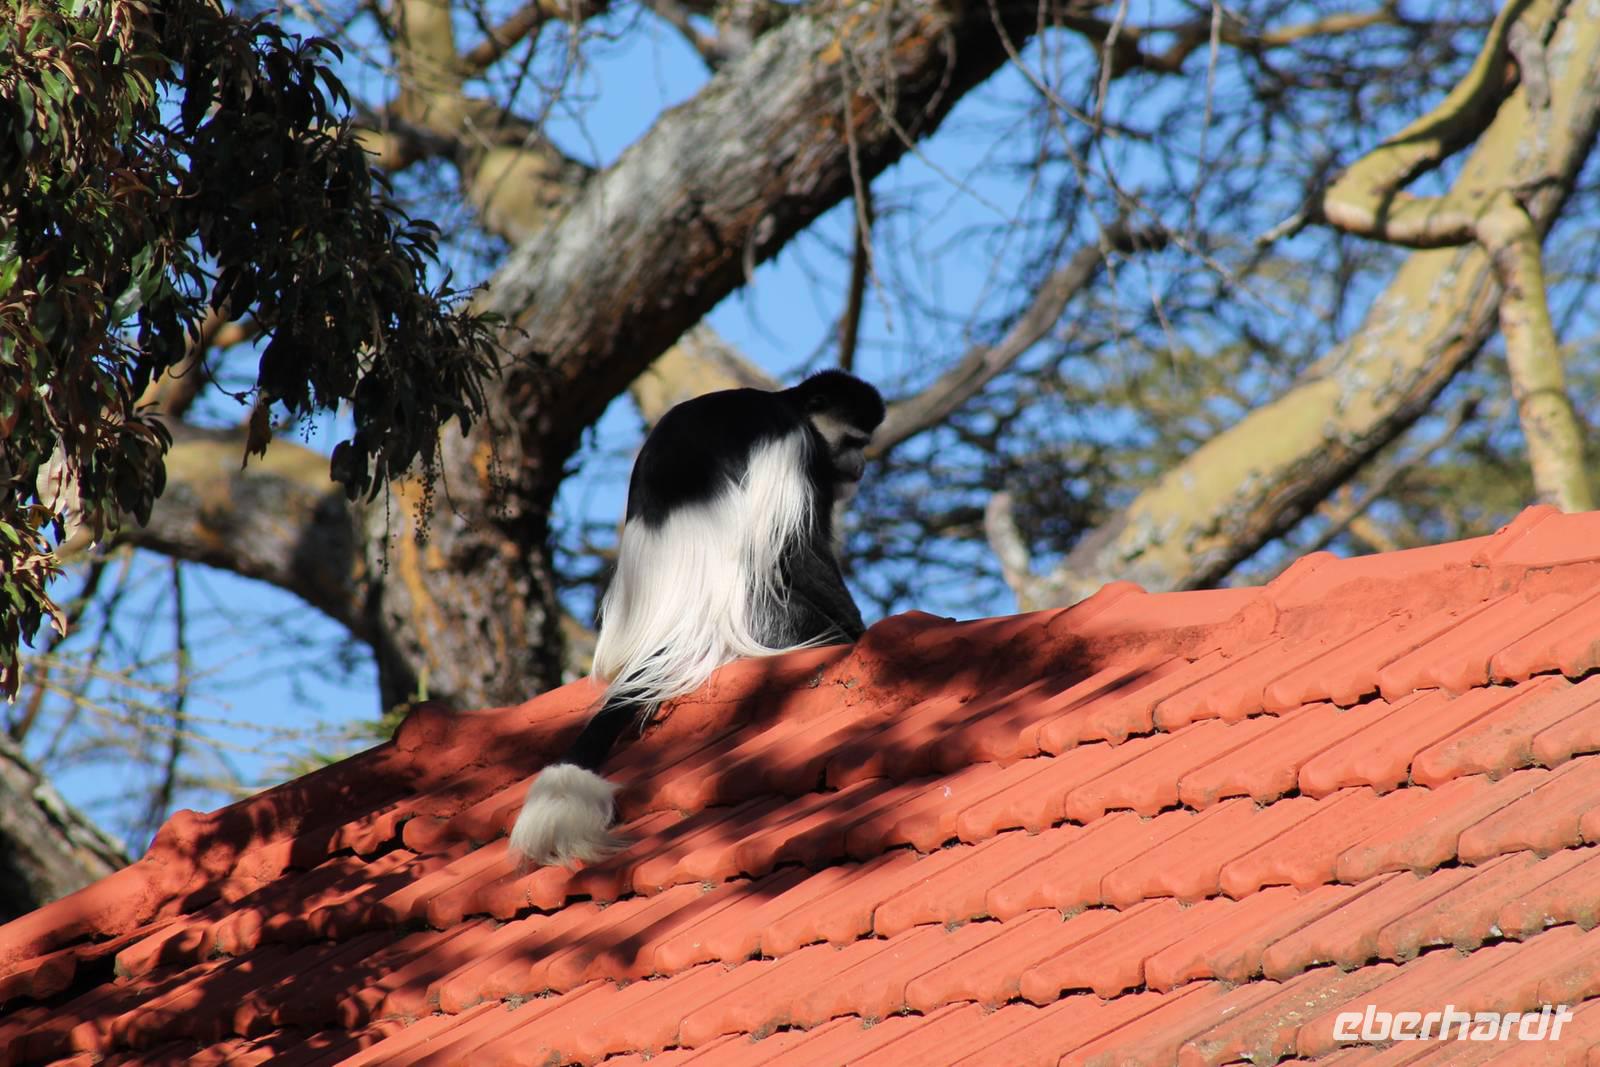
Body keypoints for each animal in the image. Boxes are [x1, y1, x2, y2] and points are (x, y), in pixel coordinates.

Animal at [510, 370, 886, 867]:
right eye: (855, 441)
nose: (860, 466)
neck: (791, 407)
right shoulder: (794, 446)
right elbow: (798, 549)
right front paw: (859, 629)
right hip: (762, 617)